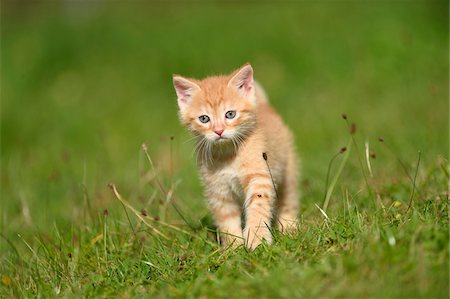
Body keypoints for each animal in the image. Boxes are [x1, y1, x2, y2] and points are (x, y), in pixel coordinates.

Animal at [172, 63, 298, 251]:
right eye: (204, 119)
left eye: (230, 114)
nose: (218, 131)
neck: (227, 155)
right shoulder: (218, 190)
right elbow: (226, 219)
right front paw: (233, 248)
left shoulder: (259, 177)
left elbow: (258, 206)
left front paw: (257, 240)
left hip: (288, 169)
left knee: (288, 199)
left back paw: (290, 228)